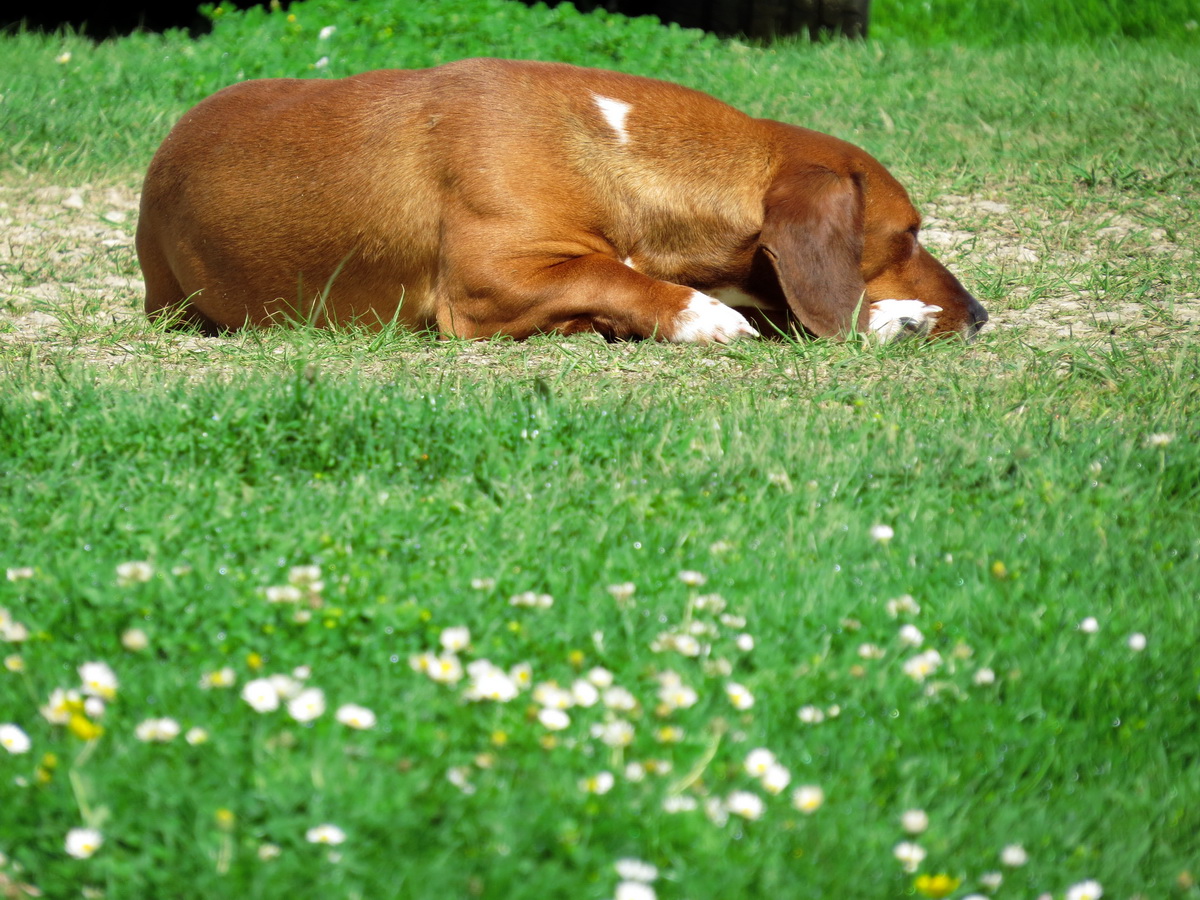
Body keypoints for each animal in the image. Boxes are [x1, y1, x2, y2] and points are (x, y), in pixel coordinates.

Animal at [136, 58, 988, 343]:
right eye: (910, 234)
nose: (980, 315)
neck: (605, 148)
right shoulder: (489, 279)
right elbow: (615, 274)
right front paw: (699, 315)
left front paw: (891, 318)